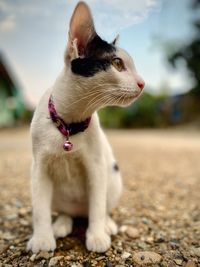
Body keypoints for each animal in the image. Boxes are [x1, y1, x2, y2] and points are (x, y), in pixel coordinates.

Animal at [27, 1, 145, 254]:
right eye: (117, 63)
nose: (143, 83)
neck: (70, 124)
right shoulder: (38, 168)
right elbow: (40, 208)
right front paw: (42, 238)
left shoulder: (96, 165)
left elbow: (98, 206)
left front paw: (97, 235)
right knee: (65, 211)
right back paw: (61, 222)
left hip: (113, 178)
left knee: (102, 207)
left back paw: (106, 224)